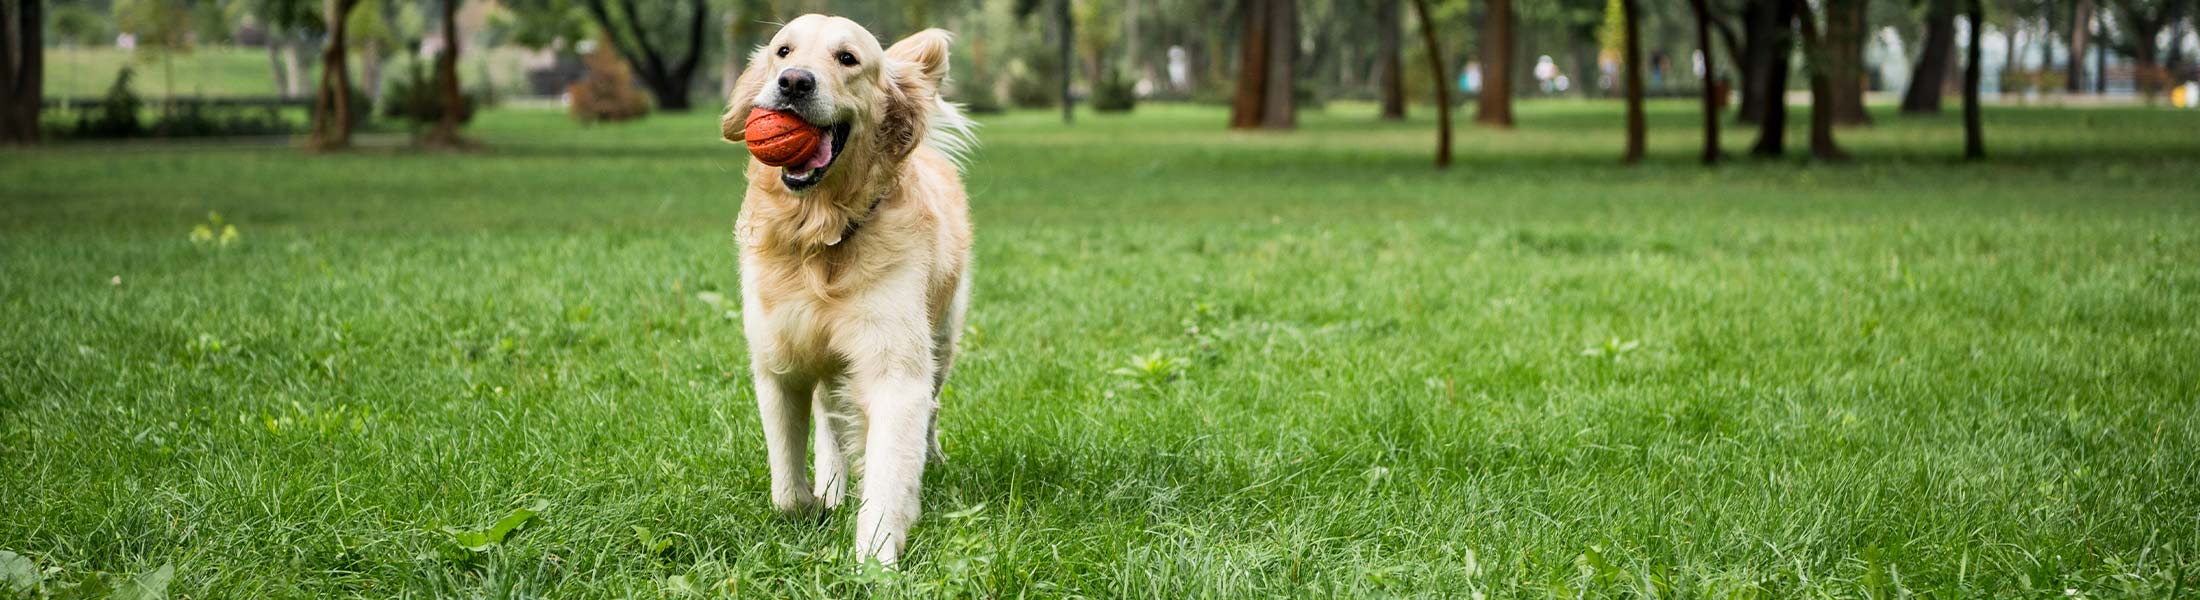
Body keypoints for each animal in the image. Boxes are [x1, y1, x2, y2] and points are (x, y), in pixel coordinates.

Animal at [721, 15, 972, 567]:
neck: (820, 236)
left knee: (931, 409)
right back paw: (833, 486)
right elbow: (786, 488)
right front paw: (811, 504)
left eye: (848, 58)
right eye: (783, 50)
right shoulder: (778, 364)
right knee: (830, 419)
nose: (794, 81)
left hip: (942, 337)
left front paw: (874, 561)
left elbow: (889, 470)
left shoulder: (895, 368)